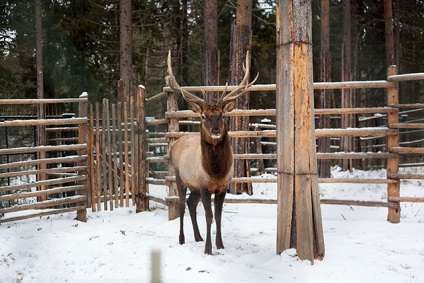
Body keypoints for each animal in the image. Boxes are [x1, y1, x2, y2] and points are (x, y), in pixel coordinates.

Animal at [166, 50, 258, 255]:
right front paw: (208, 249)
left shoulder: (223, 186)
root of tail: (175, 144)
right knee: (182, 205)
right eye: (203, 116)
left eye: (222, 115)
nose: (215, 130)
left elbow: (218, 216)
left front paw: (220, 244)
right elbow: (208, 216)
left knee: (191, 203)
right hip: (180, 177)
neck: (216, 171)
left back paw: (198, 237)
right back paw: (182, 239)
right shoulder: (204, 185)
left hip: (194, 187)